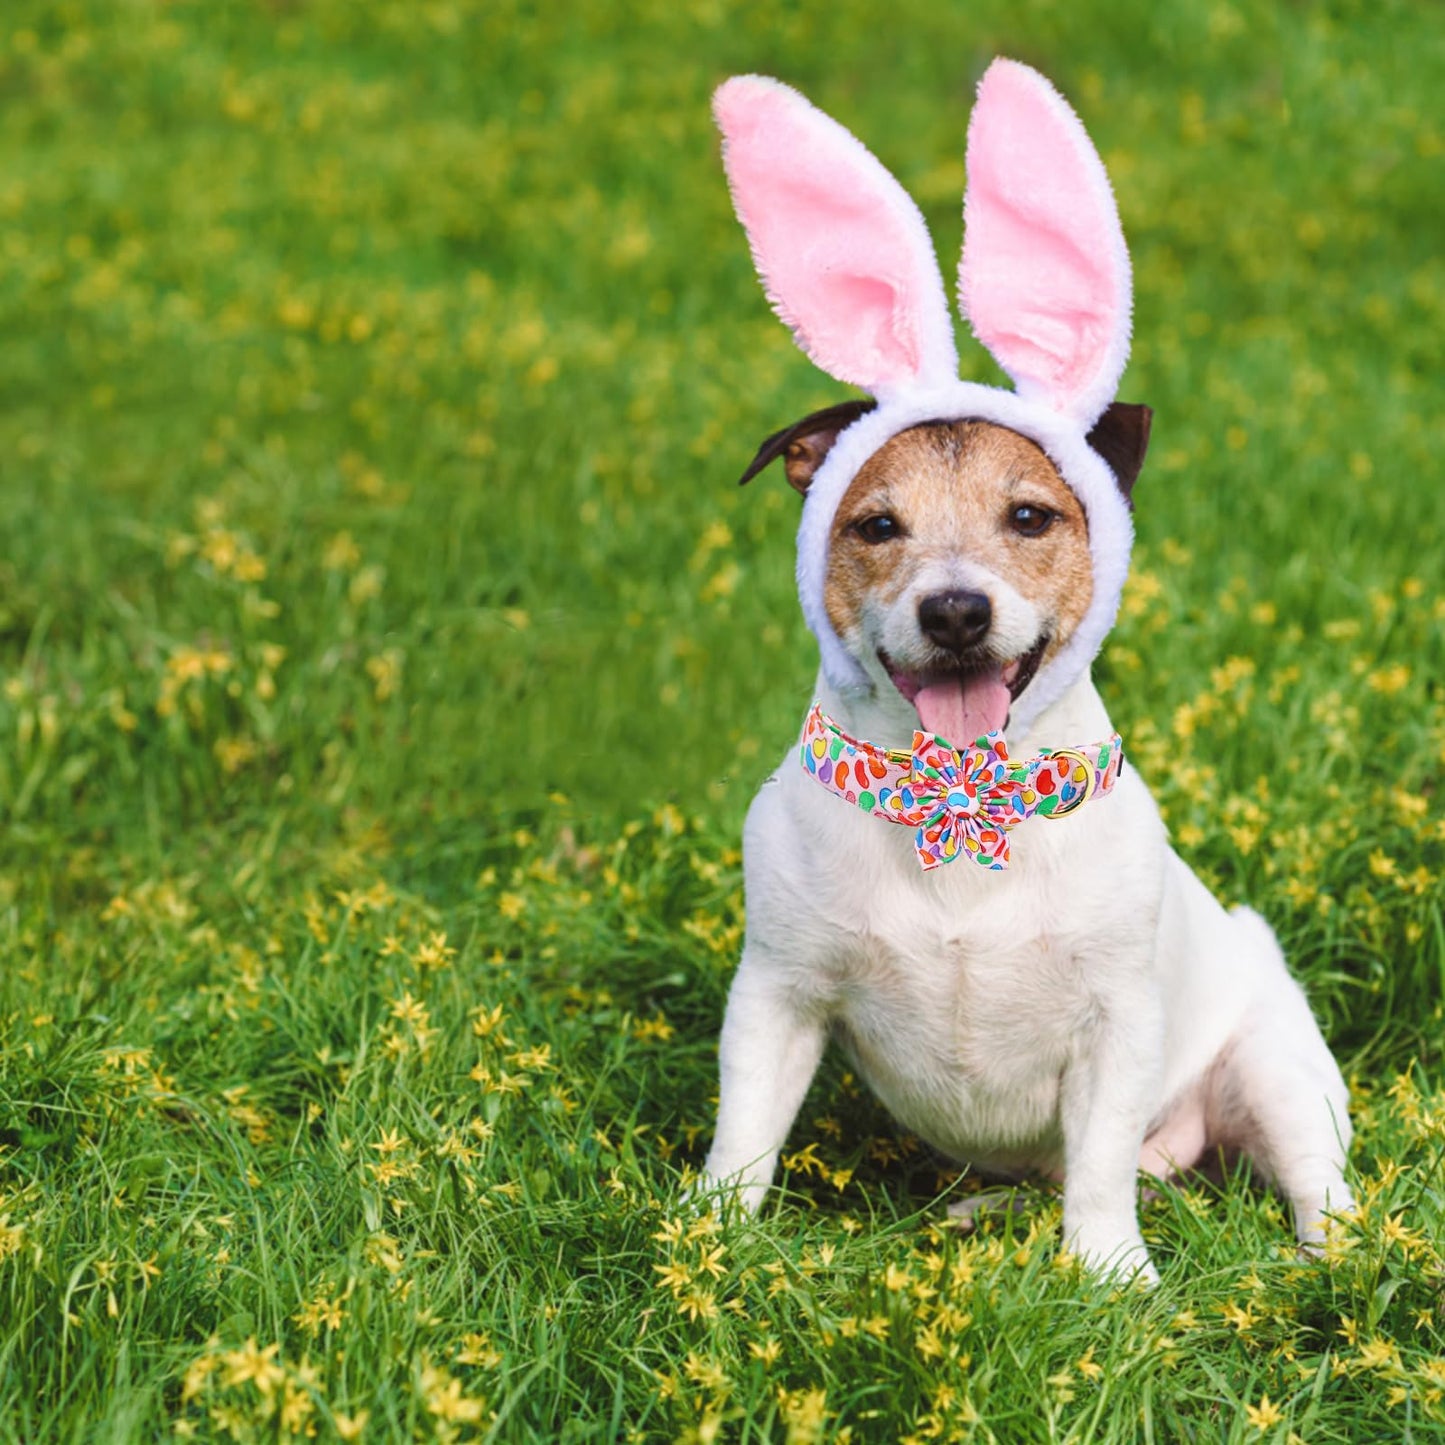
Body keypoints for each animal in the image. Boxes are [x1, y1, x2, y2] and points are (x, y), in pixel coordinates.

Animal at [693, 62, 1346, 1283]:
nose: (954, 609)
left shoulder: (1116, 1024)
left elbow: (1096, 1167)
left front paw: (1110, 1274)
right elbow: (744, 1134)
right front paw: (704, 1245)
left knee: (1311, 1188)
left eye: (1031, 516)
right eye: (876, 525)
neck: (959, 802)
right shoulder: (777, 995)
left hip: (1278, 1069)